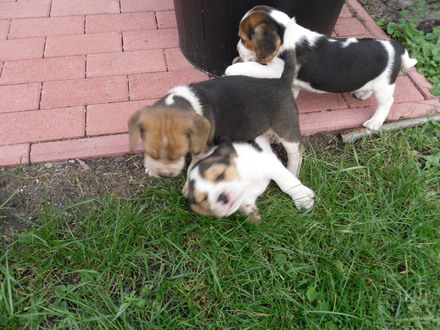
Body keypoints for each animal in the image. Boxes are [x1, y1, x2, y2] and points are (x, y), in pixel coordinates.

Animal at [225, 5, 418, 130]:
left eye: (243, 39)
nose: (237, 48)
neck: (287, 34)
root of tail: (396, 46)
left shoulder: (277, 70)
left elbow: (250, 67)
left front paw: (233, 68)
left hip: (384, 86)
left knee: (387, 103)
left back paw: (375, 122)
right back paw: (363, 94)